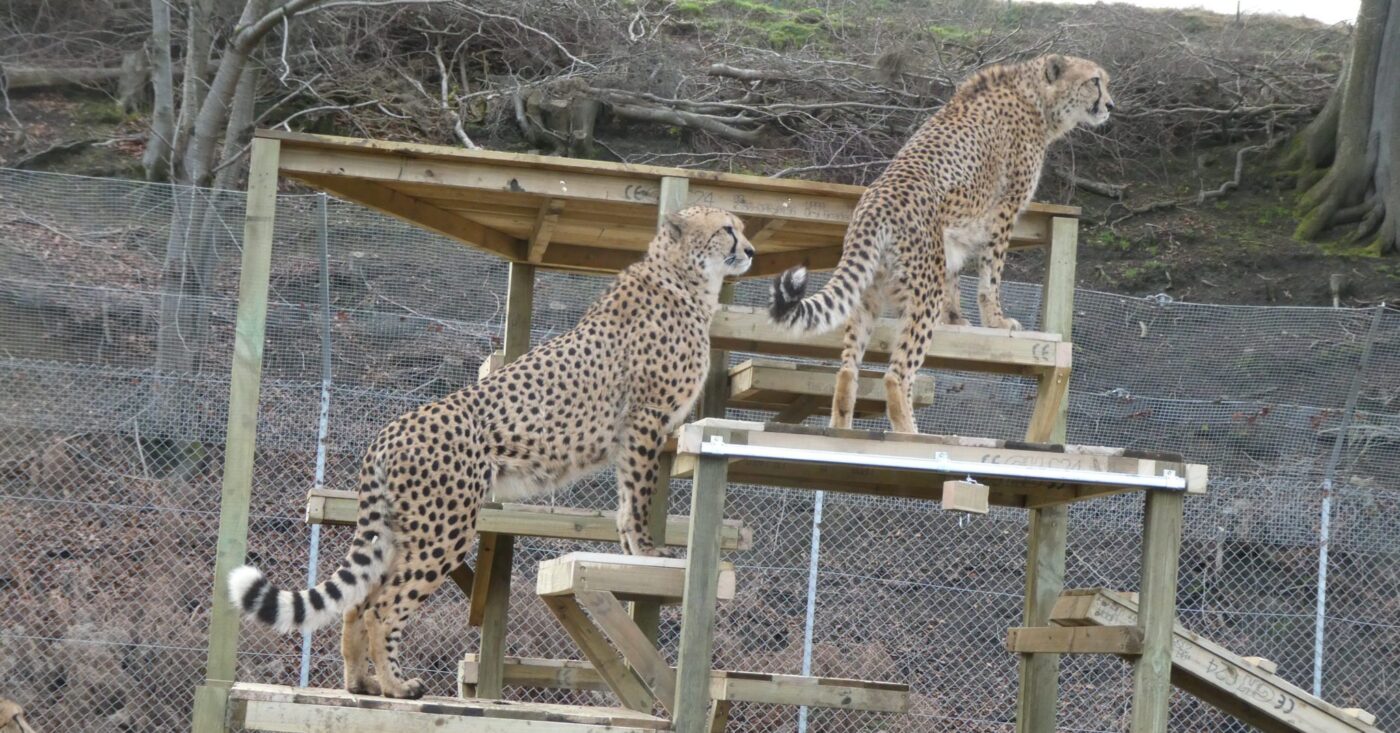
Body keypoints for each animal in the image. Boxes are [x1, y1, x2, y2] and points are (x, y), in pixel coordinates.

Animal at [228, 206, 756, 699]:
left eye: (741, 227)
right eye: (727, 229)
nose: (751, 250)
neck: (685, 279)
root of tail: (389, 430)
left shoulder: (633, 433)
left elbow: (627, 501)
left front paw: (632, 551)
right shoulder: (645, 420)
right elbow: (640, 496)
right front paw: (647, 551)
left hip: (401, 531)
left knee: (357, 602)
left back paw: (362, 684)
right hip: (445, 530)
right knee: (383, 608)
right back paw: (398, 686)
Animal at [769, 54, 1113, 434]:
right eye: (1095, 81)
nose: (1110, 105)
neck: (1037, 98)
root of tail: (873, 202)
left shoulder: (952, 236)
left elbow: (955, 275)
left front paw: (957, 320)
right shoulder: (1003, 210)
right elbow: (990, 275)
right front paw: (996, 321)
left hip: (869, 293)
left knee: (847, 370)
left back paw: (841, 429)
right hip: (921, 294)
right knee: (897, 374)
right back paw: (909, 434)